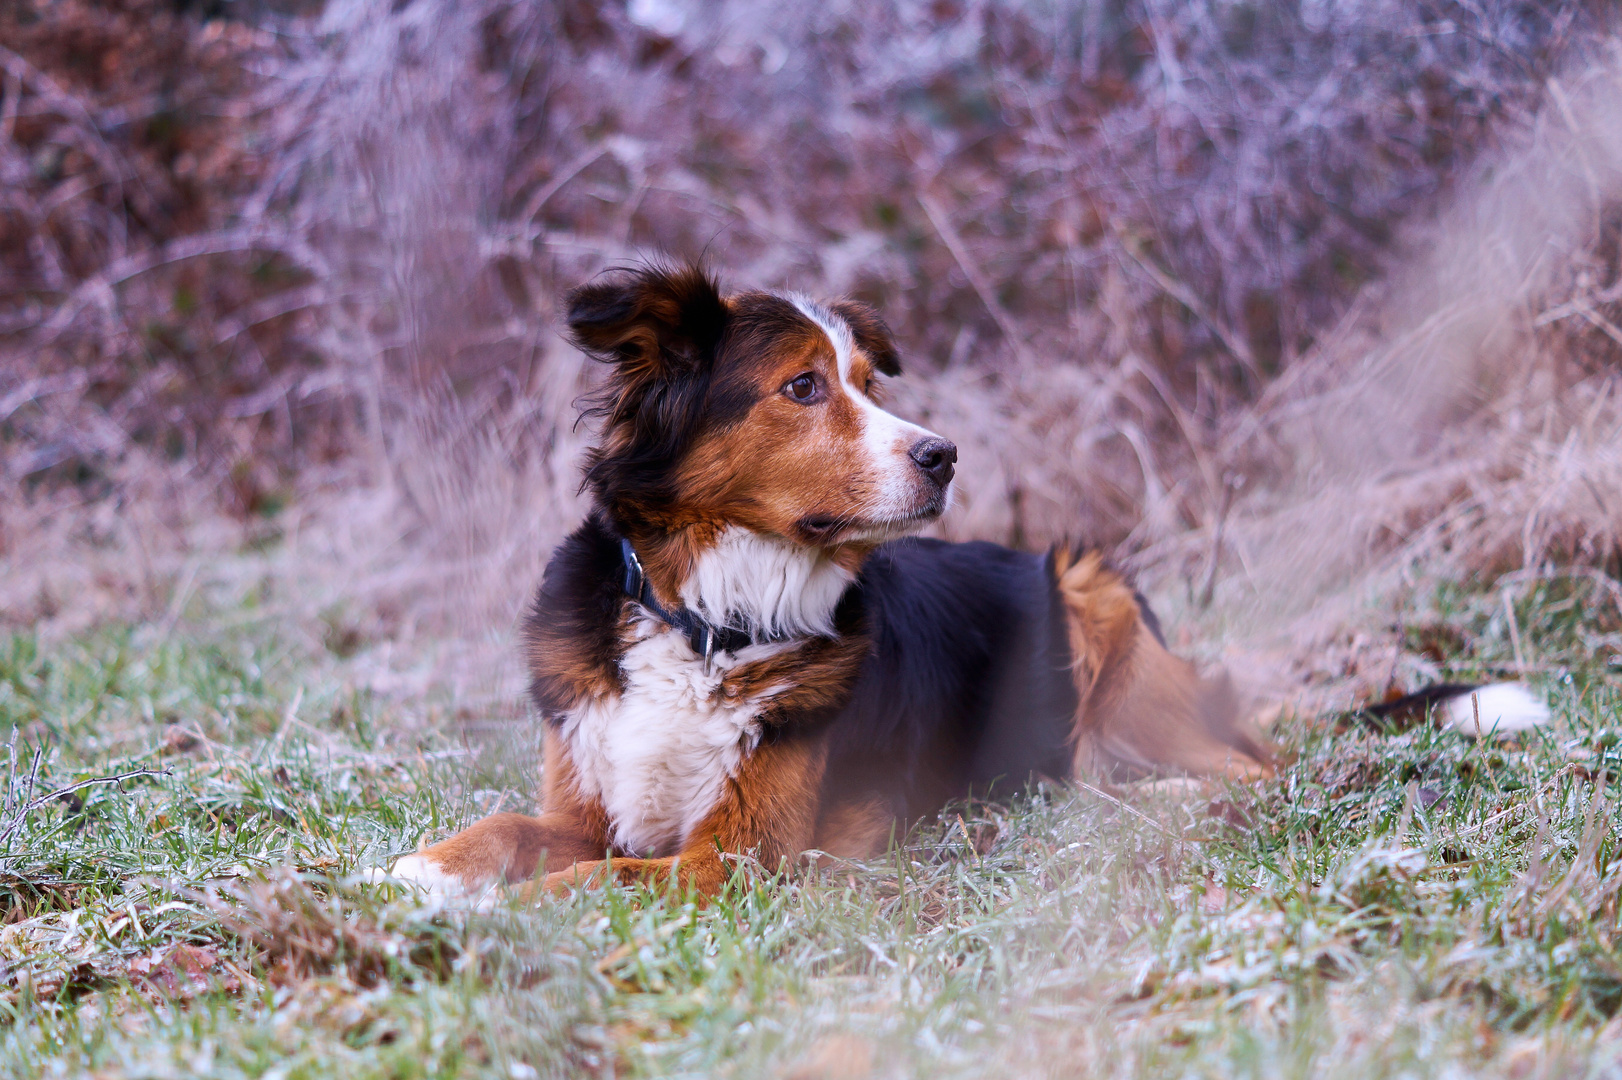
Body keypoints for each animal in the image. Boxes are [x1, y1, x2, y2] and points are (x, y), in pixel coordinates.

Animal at [379, 261, 1544, 901]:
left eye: (865, 379)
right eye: (802, 388)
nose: (943, 455)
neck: (716, 620)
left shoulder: (741, 858)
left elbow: (596, 879)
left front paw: (495, 910)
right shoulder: (593, 794)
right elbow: (519, 828)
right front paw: (426, 873)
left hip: (1091, 592)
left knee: (1251, 770)